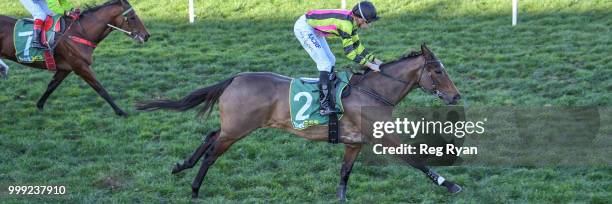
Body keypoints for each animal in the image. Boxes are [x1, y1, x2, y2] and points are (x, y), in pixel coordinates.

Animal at [0, 0, 149, 116]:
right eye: (132, 17)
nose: (147, 35)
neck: (79, 32)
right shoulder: (80, 66)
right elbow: (100, 89)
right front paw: (120, 111)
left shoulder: (65, 68)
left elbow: (51, 86)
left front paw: (40, 105)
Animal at [137, 44, 464, 199]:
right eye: (437, 71)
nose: (455, 96)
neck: (373, 92)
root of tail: (235, 78)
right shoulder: (384, 137)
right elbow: (416, 160)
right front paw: (449, 185)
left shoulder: (355, 143)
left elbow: (344, 174)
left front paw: (341, 198)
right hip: (238, 130)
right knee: (211, 154)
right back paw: (194, 188)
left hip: (234, 125)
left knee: (209, 136)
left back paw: (181, 166)